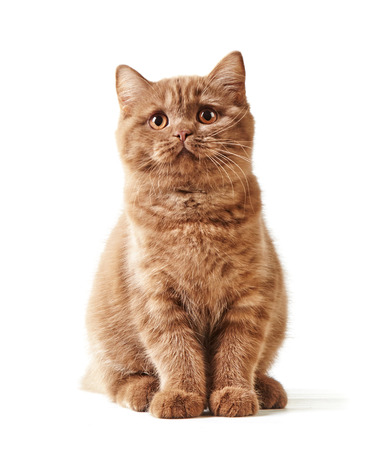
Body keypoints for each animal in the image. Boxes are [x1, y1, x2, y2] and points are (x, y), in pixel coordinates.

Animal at [82, 50, 288, 418]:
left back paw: (266, 388)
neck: (194, 219)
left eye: (206, 115)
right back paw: (143, 391)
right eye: (158, 121)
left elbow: (238, 350)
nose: (181, 132)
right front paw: (180, 396)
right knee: (115, 379)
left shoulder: (250, 295)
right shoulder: (156, 297)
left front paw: (234, 394)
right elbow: (176, 351)